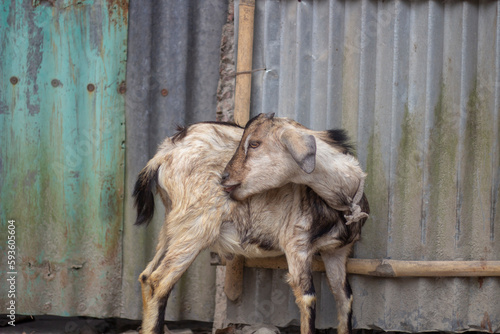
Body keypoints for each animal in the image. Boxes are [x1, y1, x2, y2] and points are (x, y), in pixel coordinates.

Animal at [135, 114, 370, 334]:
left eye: (255, 143)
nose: (224, 177)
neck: (343, 197)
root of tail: (165, 152)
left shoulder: (338, 252)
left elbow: (344, 297)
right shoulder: (297, 244)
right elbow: (307, 297)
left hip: (173, 224)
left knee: (146, 276)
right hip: (196, 227)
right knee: (159, 281)